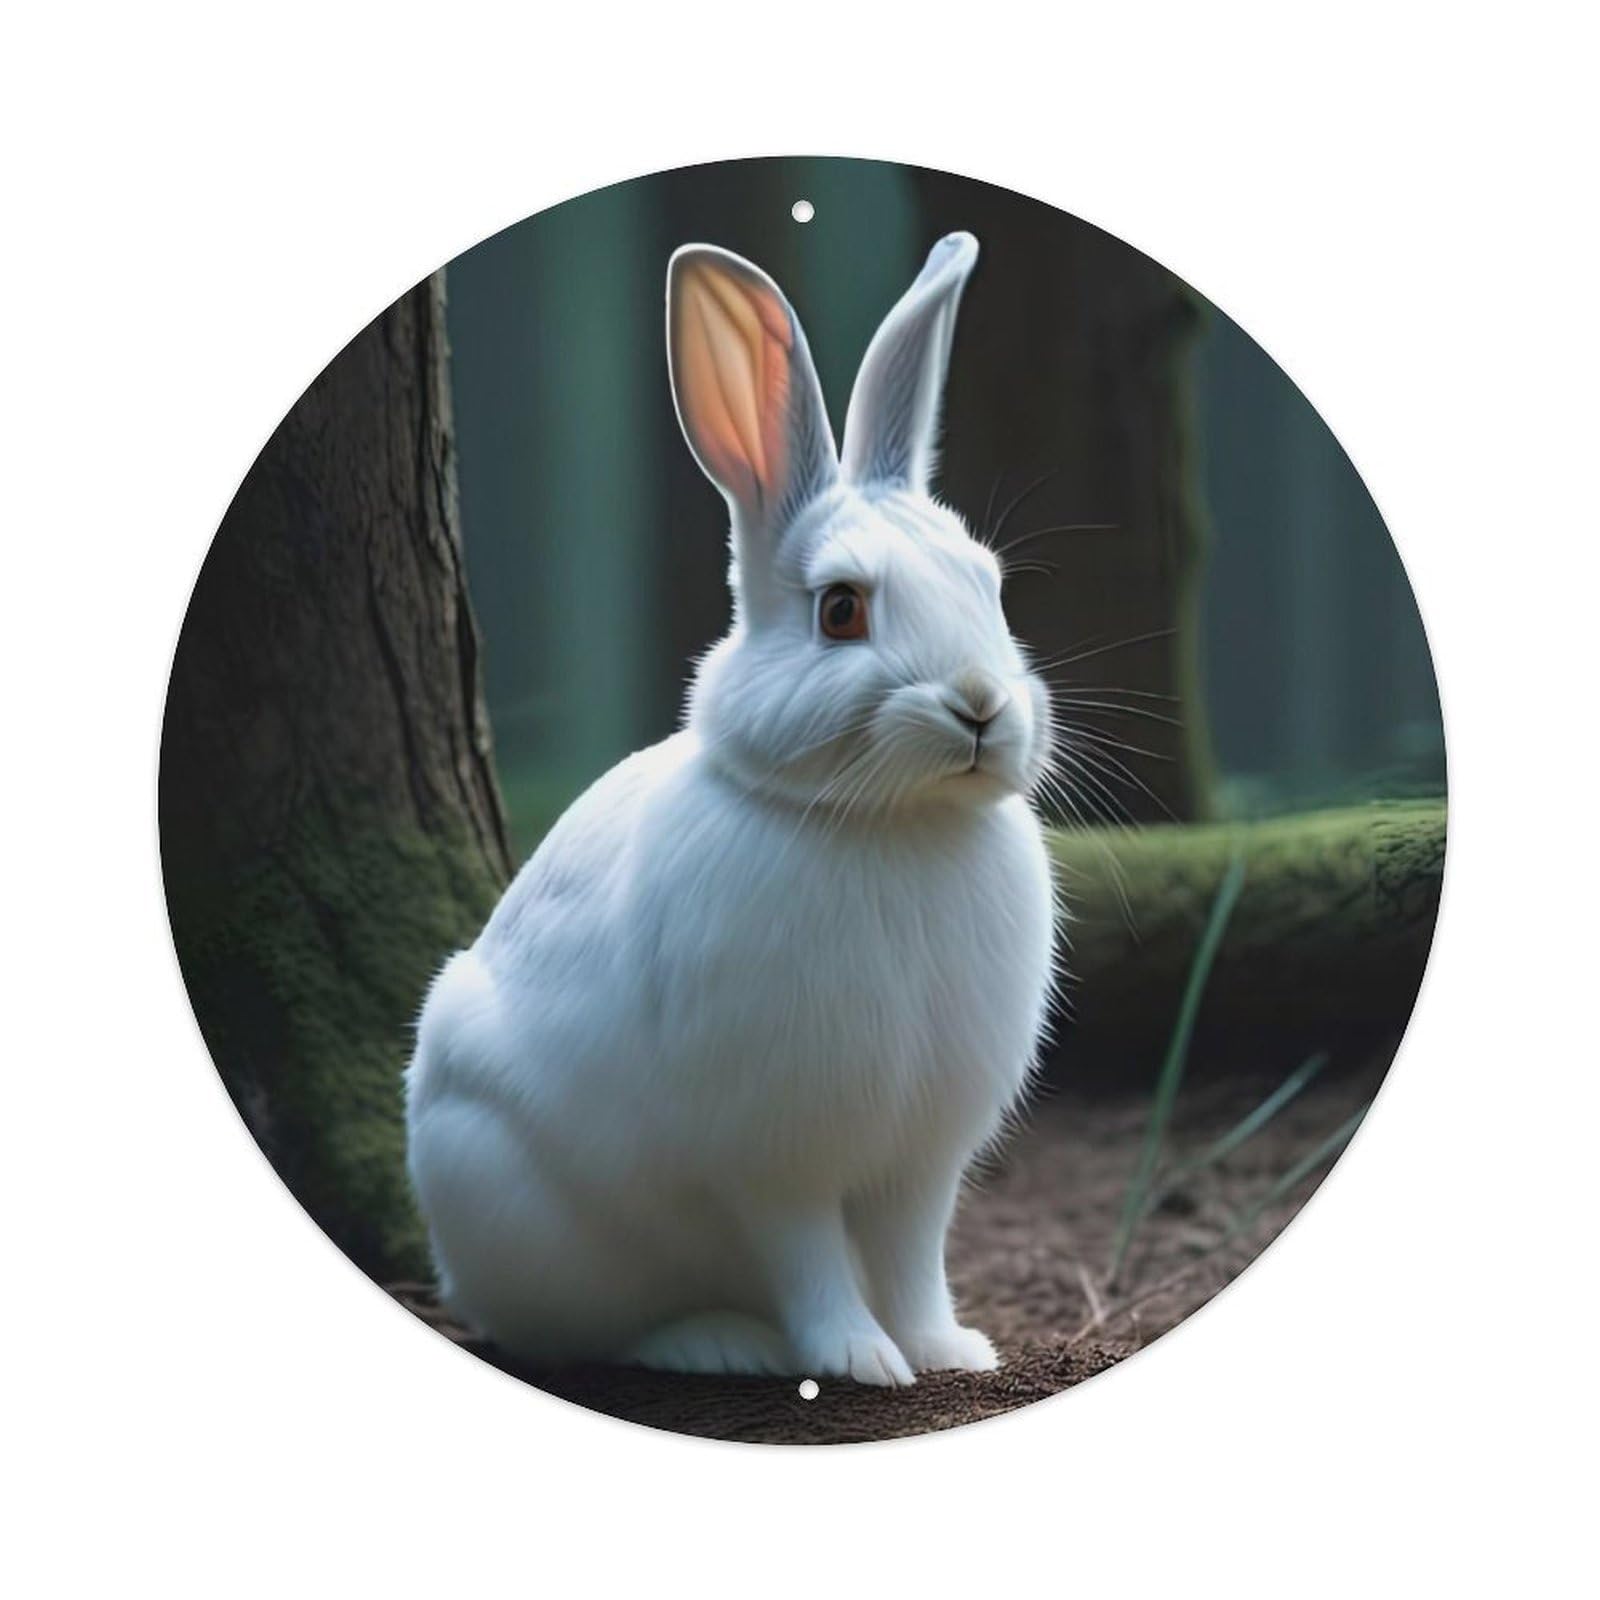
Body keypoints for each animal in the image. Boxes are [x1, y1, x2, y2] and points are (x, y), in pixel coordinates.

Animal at [405, 231, 1057, 1387]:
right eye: (840, 611)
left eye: (989, 588)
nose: (981, 705)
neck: (889, 823)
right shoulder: (771, 1155)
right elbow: (807, 1253)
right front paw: (859, 1358)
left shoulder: (922, 1157)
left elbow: (914, 1252)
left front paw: (946, 1349)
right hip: (521, 1201)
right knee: (580, 1330)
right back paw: (718, 1341)